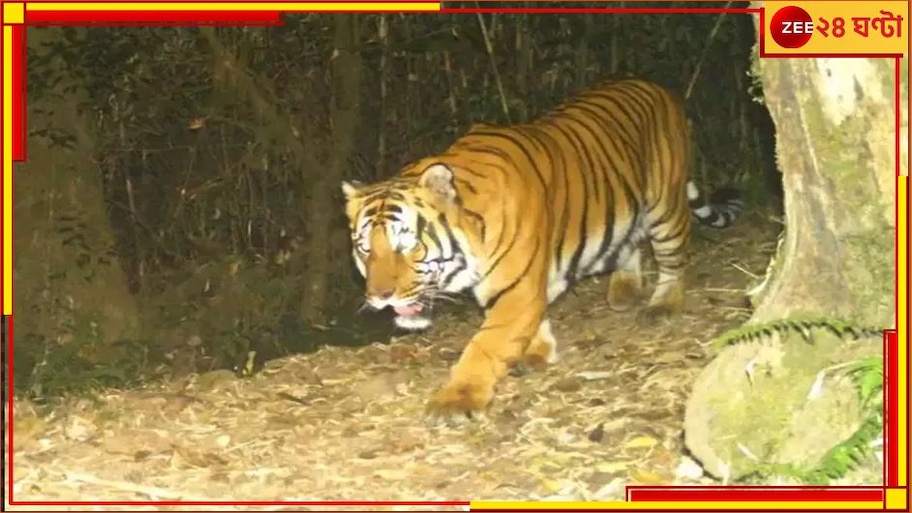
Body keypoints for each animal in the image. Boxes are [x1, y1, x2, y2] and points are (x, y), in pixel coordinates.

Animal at [341, 79, 743, 416]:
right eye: (365, 249)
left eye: (408, 244)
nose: (380, 297)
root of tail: (656, 86)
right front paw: (539, 351)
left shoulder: (516, 288)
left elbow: (486, 344)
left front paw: (457, 400)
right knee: (630, 242)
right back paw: (624, 290)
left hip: (665, 205)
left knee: (674, 257)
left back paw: (663, 305)